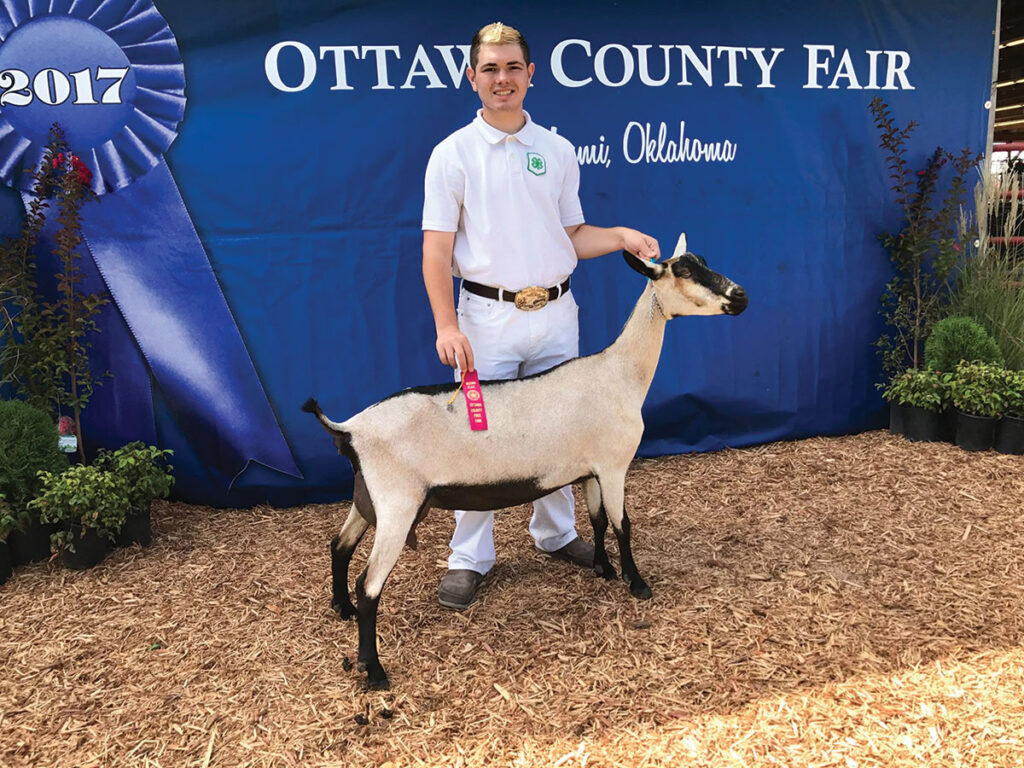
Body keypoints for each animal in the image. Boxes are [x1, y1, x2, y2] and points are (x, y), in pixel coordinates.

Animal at [299, 231, 749, 688]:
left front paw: (602, 569)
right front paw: (637, 583)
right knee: (369, 585)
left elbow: (598, 520)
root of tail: (349, 430)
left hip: (368, 497)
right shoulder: (614, 465)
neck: (619, 374)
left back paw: (342, 609)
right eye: (685, 270)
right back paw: (373, 670)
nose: (740, 296)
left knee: (339, 546)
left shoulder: (589, 469)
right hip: (397, 505)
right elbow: (623, 524)